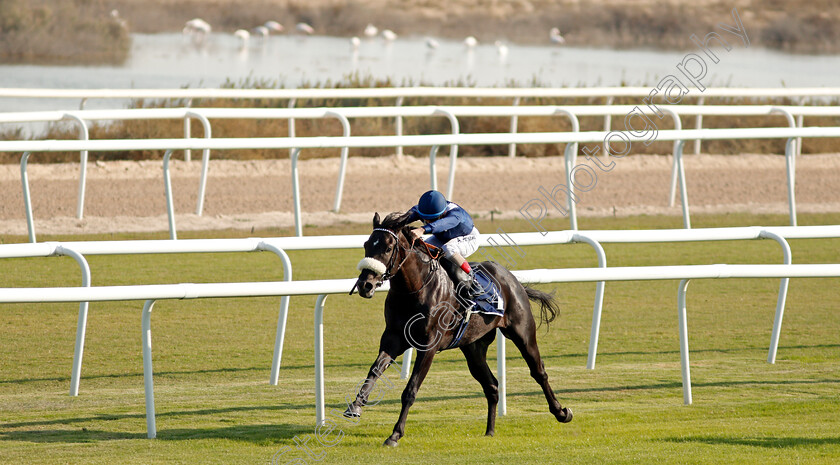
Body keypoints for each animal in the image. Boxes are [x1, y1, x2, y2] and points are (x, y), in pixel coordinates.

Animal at [342, 211, 572, 446]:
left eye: (388, 248)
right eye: (366, 244)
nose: (365, 285)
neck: (415, 288)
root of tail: (512, 279)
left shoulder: (428, 346)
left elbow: (411, 390)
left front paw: (395, 434)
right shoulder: (393, 338)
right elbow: (374, 370)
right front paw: (356, 406)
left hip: (522, 332)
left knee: (538, 371)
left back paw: (561, 412)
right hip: (473, 347)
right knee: (491, 385)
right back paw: (490, 431)